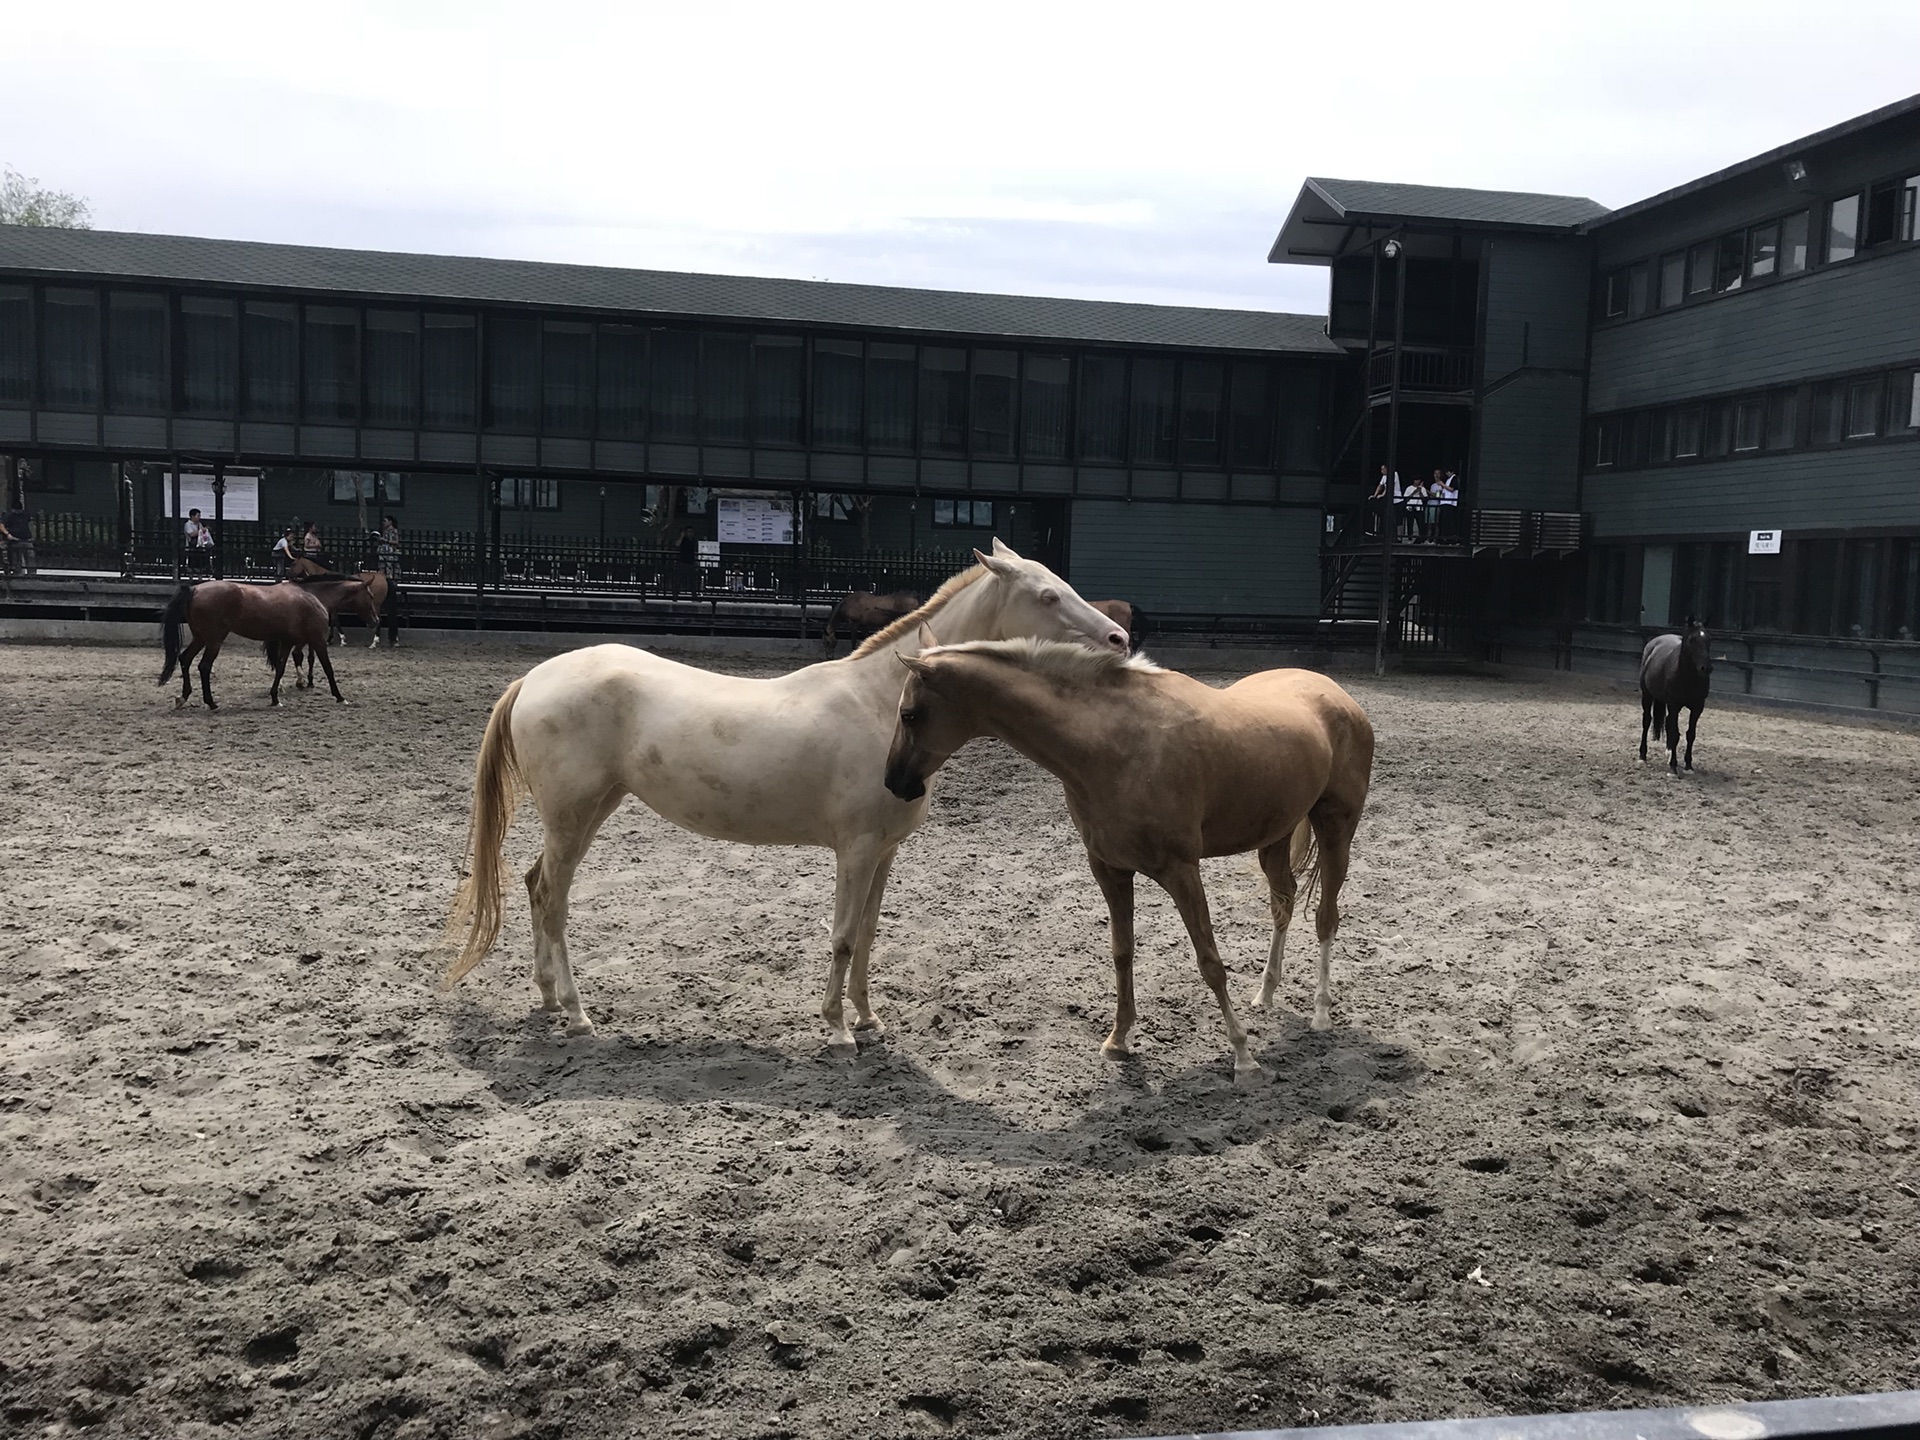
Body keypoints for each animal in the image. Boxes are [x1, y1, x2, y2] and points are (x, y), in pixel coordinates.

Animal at [159, 579, 343, 706]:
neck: (309, 596)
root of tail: (194, 589)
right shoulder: (317, 640)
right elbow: (328, 668)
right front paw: (339, 696)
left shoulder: (288, 642)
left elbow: (280, 668)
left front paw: (275, 698)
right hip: (213, 641)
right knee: (204, 666)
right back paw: (211, 702)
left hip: (200, 638)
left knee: (185, 659)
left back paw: (183, 697)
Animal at [445, 537, 1136, 1044]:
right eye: (1048, 595)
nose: (1120, 640)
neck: (882, 705)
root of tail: (536, 676)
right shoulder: (854, 850)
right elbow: (844, 935)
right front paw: (837, 1030)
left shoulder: (883, 853)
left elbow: (868, 935)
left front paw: (867, 1017)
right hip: (572, 816)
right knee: (554, 900)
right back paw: (577, 1012)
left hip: (592, 810)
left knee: (537, 886)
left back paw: (547, 999)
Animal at [879, 637, 1374, 1090]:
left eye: (910, 714)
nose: (894, 783)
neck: (1116, 746)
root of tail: (1336, 694)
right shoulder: (1109, 869)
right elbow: (1122, 951)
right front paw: (1118, 1040)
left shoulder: (1182, 871)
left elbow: (1210, 962)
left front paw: (1244, 1057)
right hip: (1273, 838)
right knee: (1283, 903)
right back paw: (1266, 993)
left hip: (1336, 830)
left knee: (1325, 917)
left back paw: (1321, 1012)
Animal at [1643, 622, 1720, 779]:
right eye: (1691, 639)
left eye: (1709, 639)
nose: (1706, 668)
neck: (1687, 676)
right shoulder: (1674, 706)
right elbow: (1674, 734)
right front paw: (1673, 767)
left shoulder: (1697, 708)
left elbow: (1690, 734)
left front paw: (1688, 766)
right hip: (1647, 695)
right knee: (1647, 721)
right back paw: (1642, 756)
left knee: (1667, 723)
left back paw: (1668, 752)